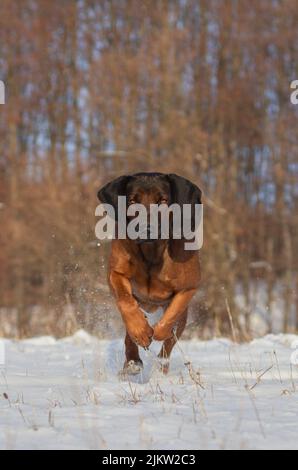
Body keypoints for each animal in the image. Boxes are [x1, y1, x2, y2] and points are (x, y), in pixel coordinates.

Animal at [98, 173, 203, 374]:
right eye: (132, 201)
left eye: (163, 200)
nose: (146, 228)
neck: (151, 252)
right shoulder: (115, 273)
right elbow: (126, 303)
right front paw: (141, 331)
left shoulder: (189, 287)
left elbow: (171, 317)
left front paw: (159, 332)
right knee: (129, 330)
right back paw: (133, 360)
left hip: (183, 317)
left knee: (171, 339)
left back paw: (161, 364)